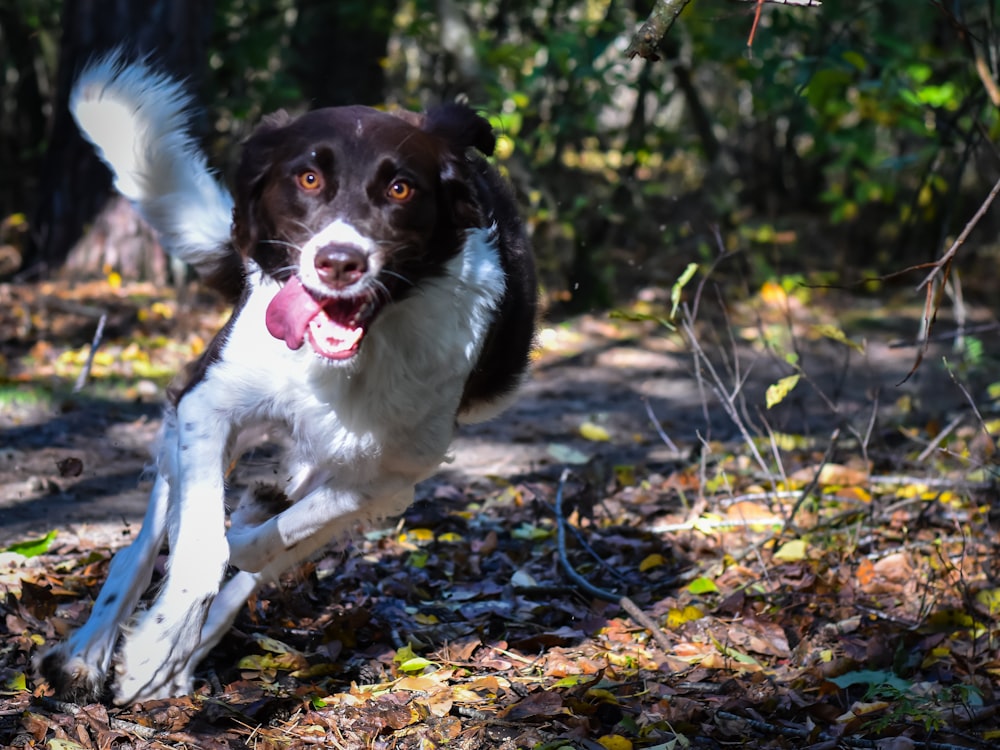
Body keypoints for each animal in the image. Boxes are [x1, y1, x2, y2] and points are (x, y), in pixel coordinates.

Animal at [37, 54, 540, 704]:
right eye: (307, 179)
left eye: (400, 188)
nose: (340, 263)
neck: (346, 359)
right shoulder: (208, 404)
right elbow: (202, 545)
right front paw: (150, 648)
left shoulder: (388, 475)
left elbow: (267, 539)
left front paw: (166, 645)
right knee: (144, 543)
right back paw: (90, 654)